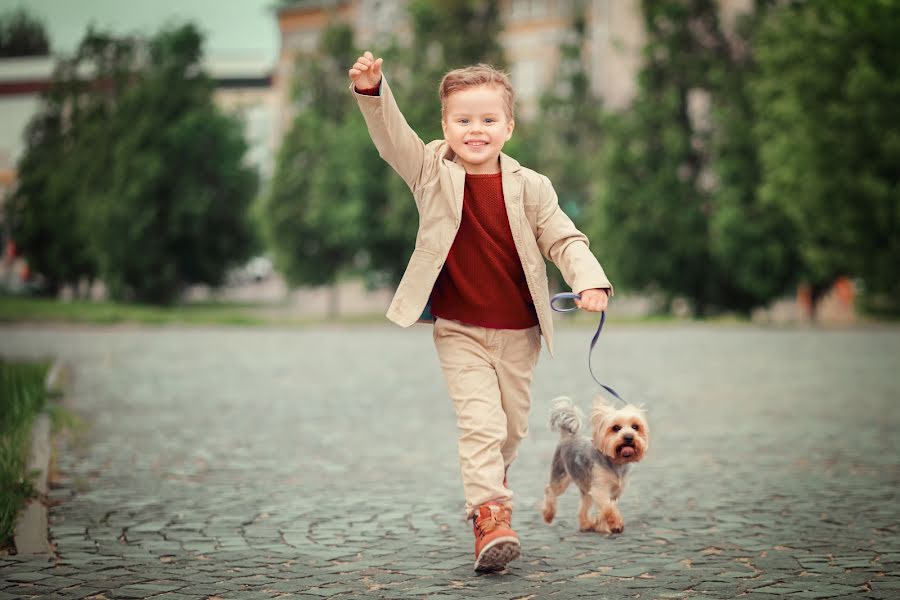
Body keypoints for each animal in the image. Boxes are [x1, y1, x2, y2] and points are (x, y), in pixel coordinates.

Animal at [540, 396, 648, 532]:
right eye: (616, 428)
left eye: (635, 427)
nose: (629, 437)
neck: (616, 462)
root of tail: (566, 436)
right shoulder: (600, 489)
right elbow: (608, 508)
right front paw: (615, 523)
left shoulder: (615, 492)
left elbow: (606, 509)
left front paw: (600, 524)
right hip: (560, 475)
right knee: (550, 489)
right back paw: (548, 515)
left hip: (585, 486)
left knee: (584, 504)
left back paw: (586, 524)